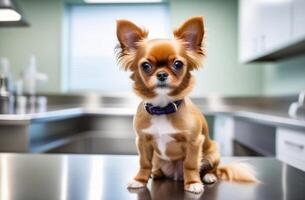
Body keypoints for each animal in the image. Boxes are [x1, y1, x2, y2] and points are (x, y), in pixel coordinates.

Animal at [115, 16, 255, 195]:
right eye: (145, 66)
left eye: (178, 64)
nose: (162, 74)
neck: (163, 108)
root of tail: (175, 174)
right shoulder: (143, 141)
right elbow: (144, 163)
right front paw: (139, 180)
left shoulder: (194, 142)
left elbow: (190, 165)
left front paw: (193, 183)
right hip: (158, 158)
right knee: (156, 167)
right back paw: (156, 173)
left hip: (213, 152)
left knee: (213, 169)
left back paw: (208, 176)